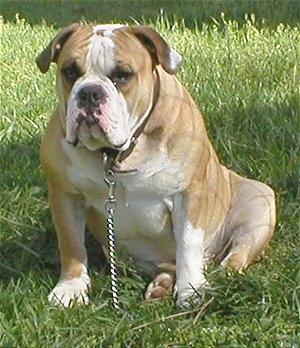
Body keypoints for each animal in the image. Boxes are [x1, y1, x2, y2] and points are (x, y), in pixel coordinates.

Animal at [36, 23, 276, 308]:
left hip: (259, 206)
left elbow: (188, 244)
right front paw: (71, 288)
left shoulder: (189, 196)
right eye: (70, 72)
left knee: (236, 255)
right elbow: (71, 244)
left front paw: (191, 289)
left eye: (123, 75)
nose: (89, 92)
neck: (122, 152)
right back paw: (162, 285)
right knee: (167, 266)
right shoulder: (65, 195)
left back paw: (221, 275)